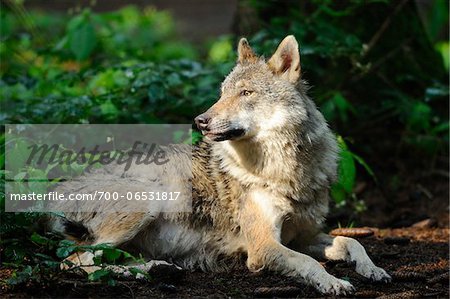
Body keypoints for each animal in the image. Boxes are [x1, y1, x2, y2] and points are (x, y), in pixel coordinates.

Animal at [51, 35, 390, 296]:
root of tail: (54, 192)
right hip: (148, 201)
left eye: (245, 93)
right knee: (74, 260)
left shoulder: (303, 237)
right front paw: (334, 282)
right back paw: (141, 272)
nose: (200, 120)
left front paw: (373, 269)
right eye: (222, 94)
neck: (284, 170)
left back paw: (158, 269)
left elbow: (351, 241)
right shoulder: (262, 247)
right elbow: (309, 263)